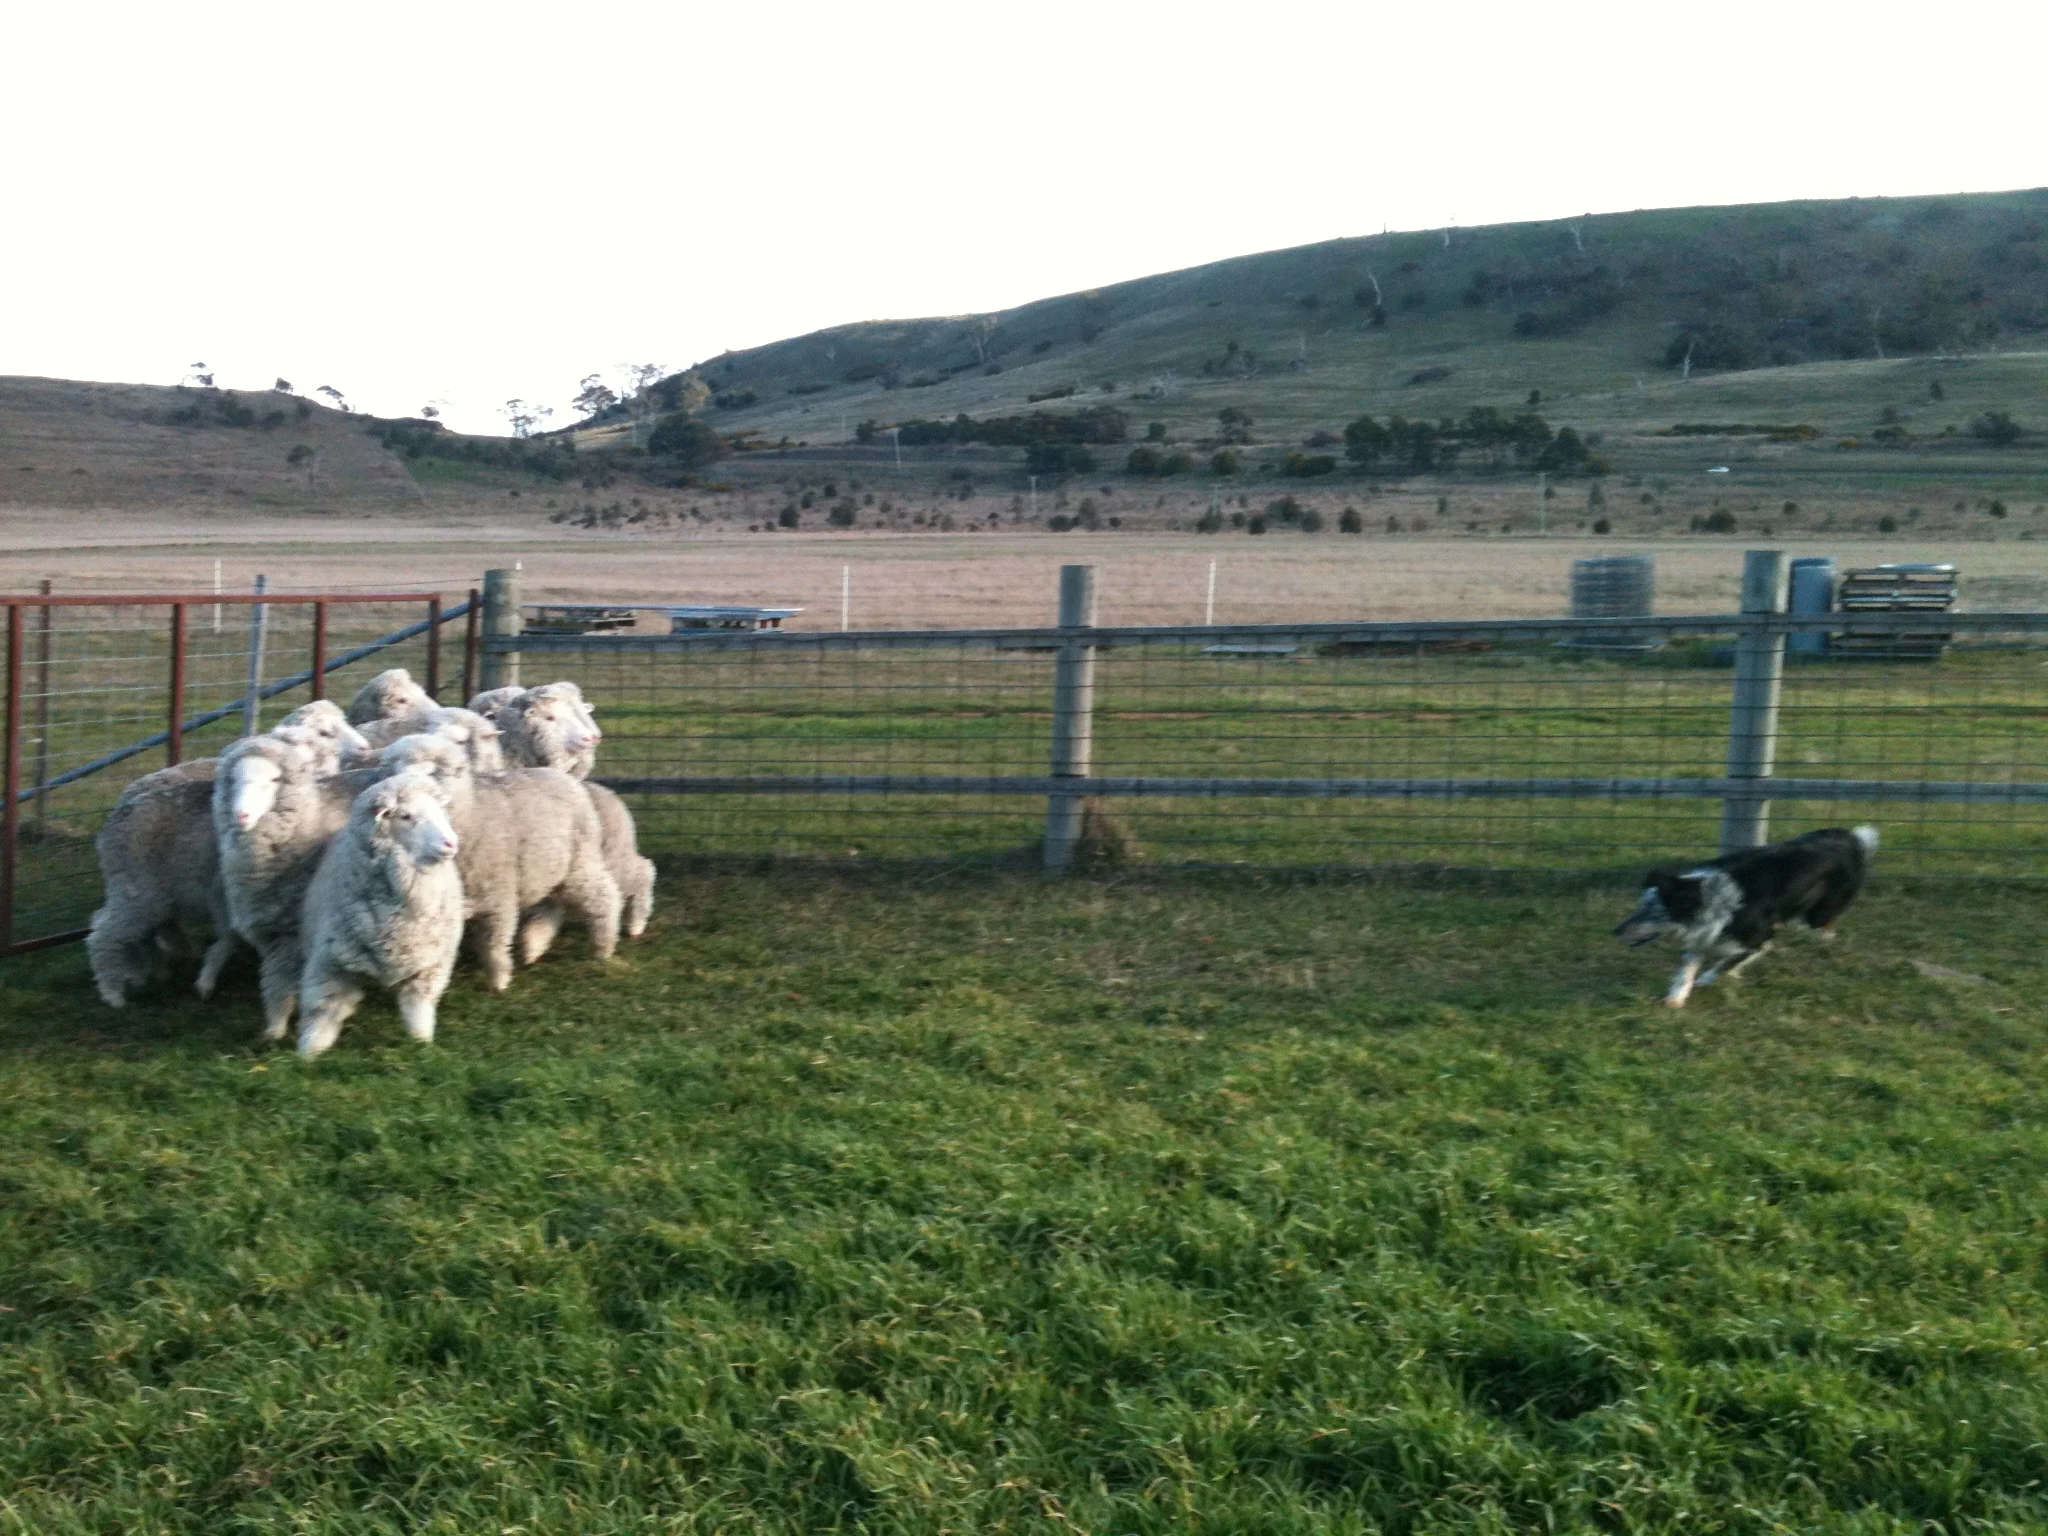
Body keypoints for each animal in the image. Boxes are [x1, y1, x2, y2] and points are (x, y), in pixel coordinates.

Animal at [296, 769, 465, 1058]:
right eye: (405, 816)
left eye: (440, 811)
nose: (451, 843)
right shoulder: (331, 963)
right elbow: (322, 1011)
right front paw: (308, 1054)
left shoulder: (429, 966)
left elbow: (418, 1010)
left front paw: (421, 1045)